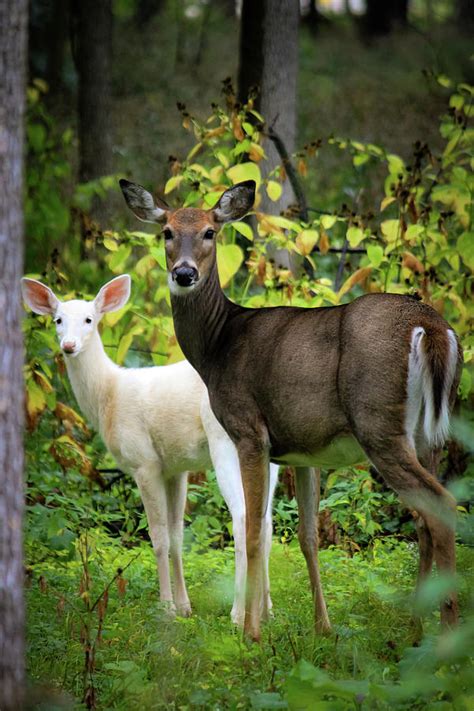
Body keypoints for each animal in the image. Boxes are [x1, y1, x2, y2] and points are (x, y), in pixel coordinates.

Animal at [121, 179, 462, 644]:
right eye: (167, 231)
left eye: (210, 231)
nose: (184, 274)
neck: (217, 347)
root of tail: (433, 328)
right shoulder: (305, 450)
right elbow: (306, 535)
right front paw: (322, 626)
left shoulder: (249, 430)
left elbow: (251, 530)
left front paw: (251, 632)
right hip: (430, 435)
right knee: (425, 520)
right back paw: (414, 629)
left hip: (379, 424)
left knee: (442, 506)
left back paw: (445, 637)